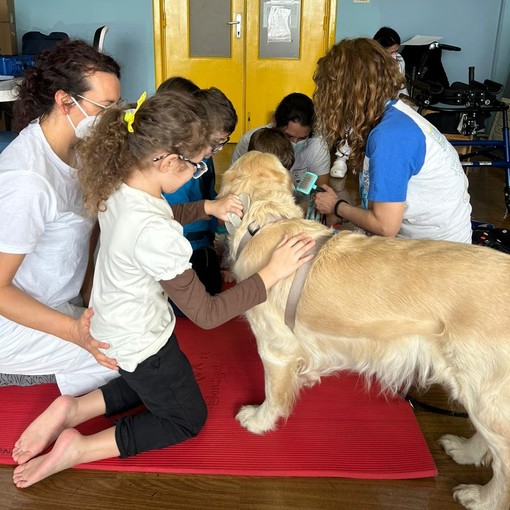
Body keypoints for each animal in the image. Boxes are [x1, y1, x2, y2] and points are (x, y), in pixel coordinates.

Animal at [220, 150, 510, 510]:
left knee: (504, 462)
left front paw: (259, 421)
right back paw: (465, 450)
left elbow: (273, 393)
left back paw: (483, 498)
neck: (269, 220)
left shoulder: (275, 350)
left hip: (485, 390)